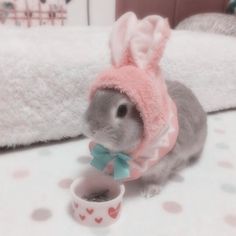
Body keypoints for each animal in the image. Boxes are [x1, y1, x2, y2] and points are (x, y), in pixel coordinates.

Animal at [82, 12, 207, 197]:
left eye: (122, 110)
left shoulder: (164, 161)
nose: (91, 129)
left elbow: (159, 177)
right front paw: (107, 172)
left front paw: (150, 191)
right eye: (96, 96)